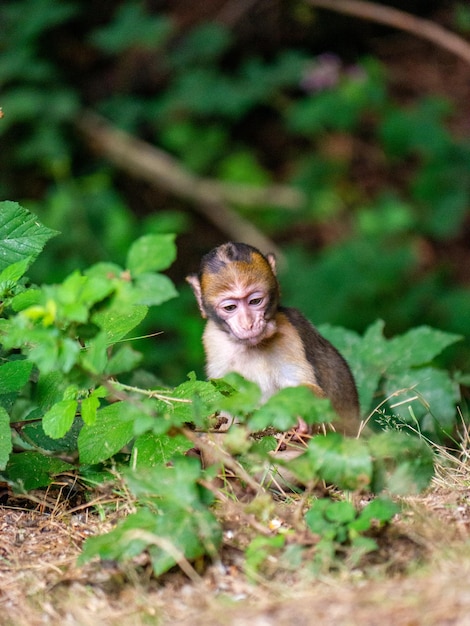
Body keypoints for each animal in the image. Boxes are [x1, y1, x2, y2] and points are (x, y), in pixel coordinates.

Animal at [185, 240, 358, 434]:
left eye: (255, 301)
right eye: (230, 307)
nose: (248, 324)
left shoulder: (289, 333)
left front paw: (298, 411)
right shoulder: (213, 339)